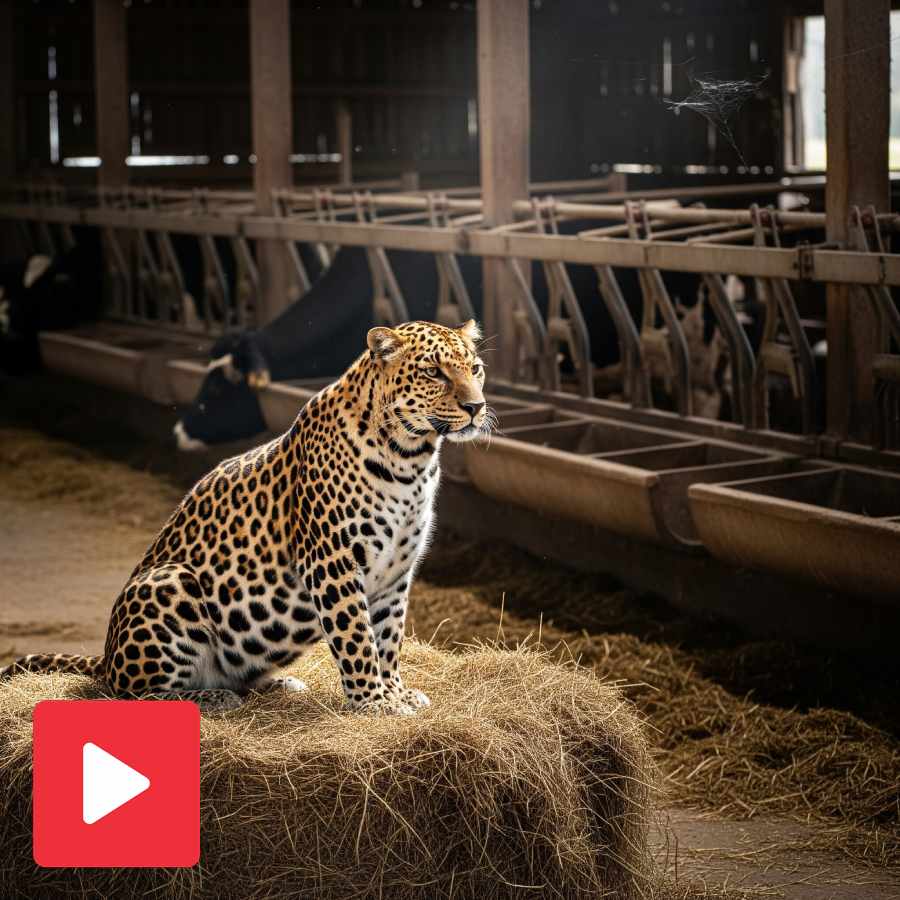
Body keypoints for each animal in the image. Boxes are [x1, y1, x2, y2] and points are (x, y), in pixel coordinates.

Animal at [1, 320, 490, 715]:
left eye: (476, 369)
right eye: (433, 372)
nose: (476, 407)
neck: (411, 458)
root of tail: (105, 656)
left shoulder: (395, 571)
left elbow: (387, 637)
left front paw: (395, 692)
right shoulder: (332, 562)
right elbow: (356, 636)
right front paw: (374, 702)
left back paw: (279, 685)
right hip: (170, 582)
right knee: (132, 693)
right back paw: (212, 698)